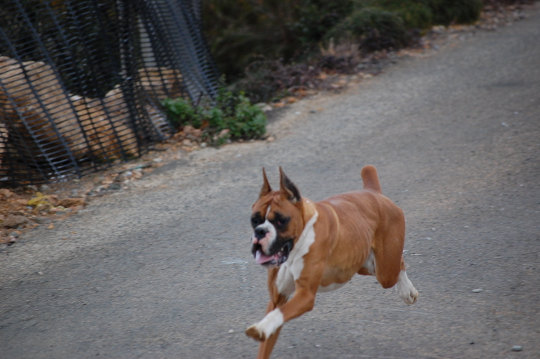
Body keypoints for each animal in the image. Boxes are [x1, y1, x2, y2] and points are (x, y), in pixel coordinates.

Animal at [245, 167, 418, 359]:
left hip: (386, 271)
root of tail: (373, 192)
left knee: (398, 265)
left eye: (281, 220)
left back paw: (406, 291)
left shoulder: (305, 296)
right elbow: (273, 322)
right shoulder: (277, 298)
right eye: (254, 220)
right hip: (362, 264)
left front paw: (260, 328)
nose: (260, 231)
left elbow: (279, 314)